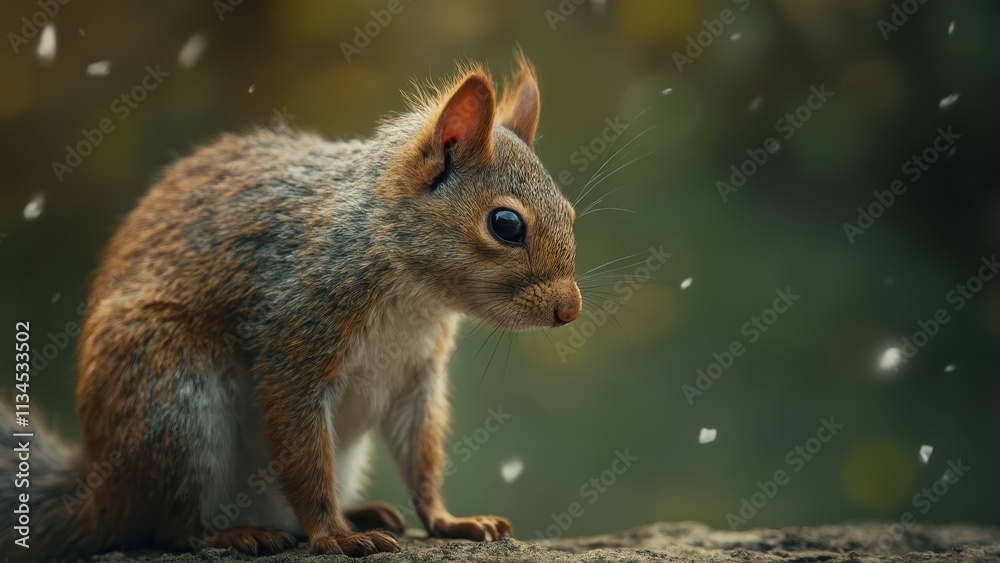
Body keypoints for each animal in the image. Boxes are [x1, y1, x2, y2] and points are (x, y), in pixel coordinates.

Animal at [1, 54, 581, 559]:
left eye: (570, 213)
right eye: (506, 224)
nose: (570, 310)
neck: (417, 295)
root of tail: (98, 495)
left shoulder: (416, 379)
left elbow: (421, 457)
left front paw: (448, 520)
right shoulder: (296, 336)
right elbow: (304, 456)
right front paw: (335, 536)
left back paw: (361, 513)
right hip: (173, 404)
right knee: (166, 526)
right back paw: (234, 533)